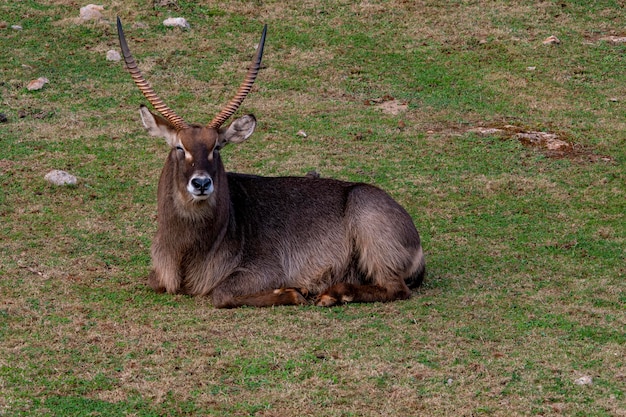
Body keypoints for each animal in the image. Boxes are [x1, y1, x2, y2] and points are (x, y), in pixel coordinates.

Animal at [116, 17, 424, 308]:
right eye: (180, 147)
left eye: (217, 147)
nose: (201, 183)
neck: (188, 249)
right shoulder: (158, 276)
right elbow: (156, 282)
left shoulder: (264, 269)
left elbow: (221, 293)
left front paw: (294, 292)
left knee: (396, 288)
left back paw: (331, 294)